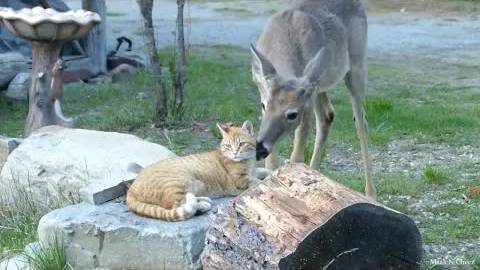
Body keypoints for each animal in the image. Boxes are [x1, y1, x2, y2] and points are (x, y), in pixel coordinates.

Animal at [127, 120, 264, 221]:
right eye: (228, 146)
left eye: (241, 144)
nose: (235, 153)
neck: (249, 161)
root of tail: (131, 189)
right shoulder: (240, 179)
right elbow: (256, 181)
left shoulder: (254, 171)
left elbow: (262, 171)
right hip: (179, 182)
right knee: (176, 205)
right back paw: (202, 205)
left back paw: (203, 200)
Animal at [251, 0, 376, 198]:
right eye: (263, 105)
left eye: (293, 114)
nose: (259, 148)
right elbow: (272, 162)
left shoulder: (307, 101)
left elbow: (296, 157)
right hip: (320, 87)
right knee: (328, 115)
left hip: (357, 66)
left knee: (360, 122)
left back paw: (370, 194)